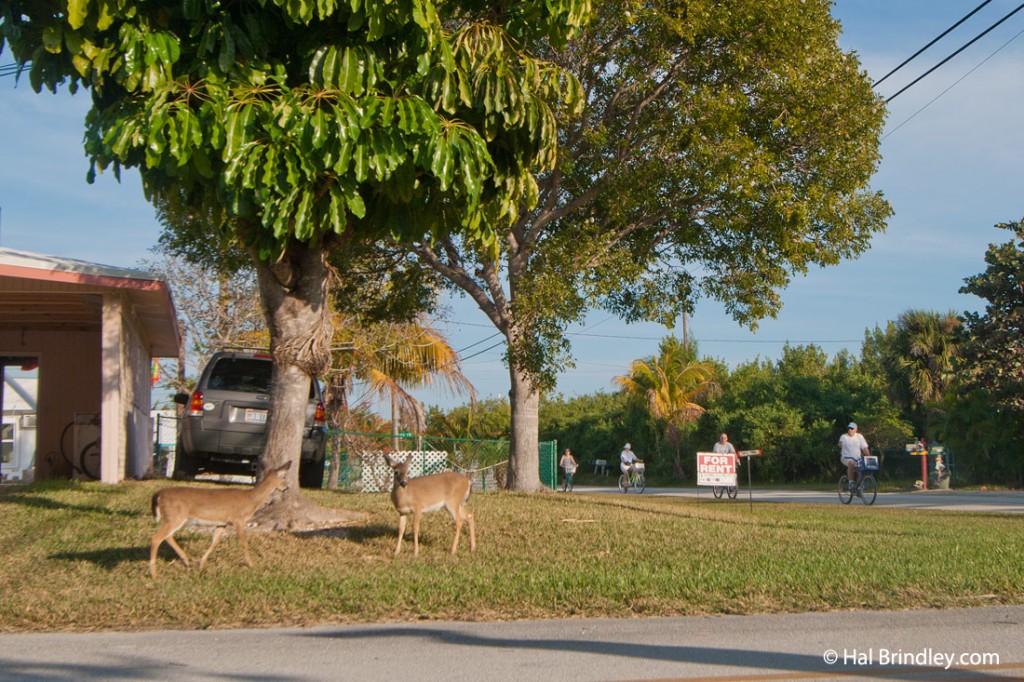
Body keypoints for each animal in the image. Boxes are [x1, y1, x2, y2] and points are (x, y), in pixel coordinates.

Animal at [146, 458, 288, 577]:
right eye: (283, 478)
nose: (286, 488)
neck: (251, 499)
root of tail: (159, 494)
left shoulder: (222, 522)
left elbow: (215, 542)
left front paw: (201, 564)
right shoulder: (238, 518)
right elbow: (244, 542)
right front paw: (251, 564)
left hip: (173, 518)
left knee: (167, 536)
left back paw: (186, 561)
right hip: (175, 516)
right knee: (156, 537)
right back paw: (154, 573)